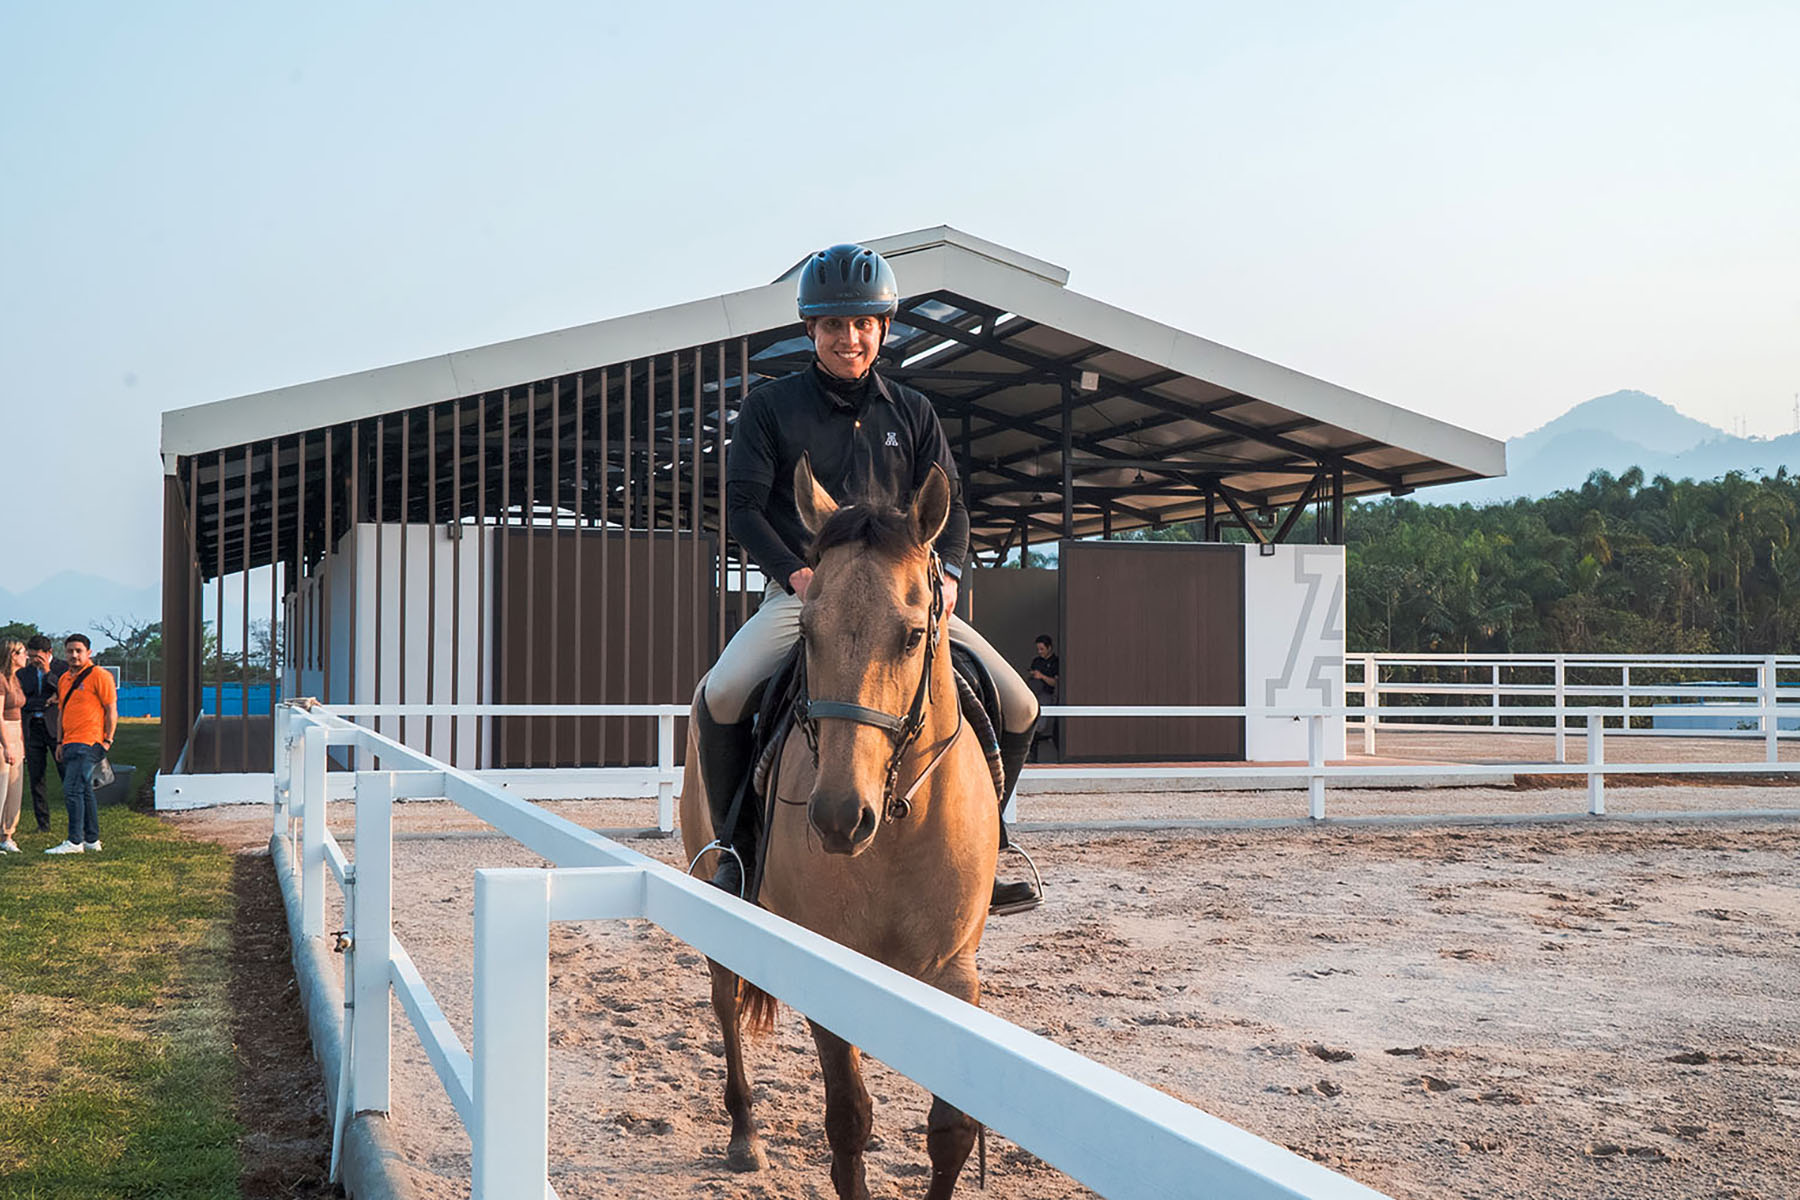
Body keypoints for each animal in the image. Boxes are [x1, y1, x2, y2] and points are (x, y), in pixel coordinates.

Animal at [680, 460, 1008, 1200]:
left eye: (913, 634)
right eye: (807, 633)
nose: (837, 817)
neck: (896, 828)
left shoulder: (955, 971)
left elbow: (950, 1133)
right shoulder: (827, 959)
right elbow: (848, 1122)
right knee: (725, 999)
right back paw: (744, 1132)